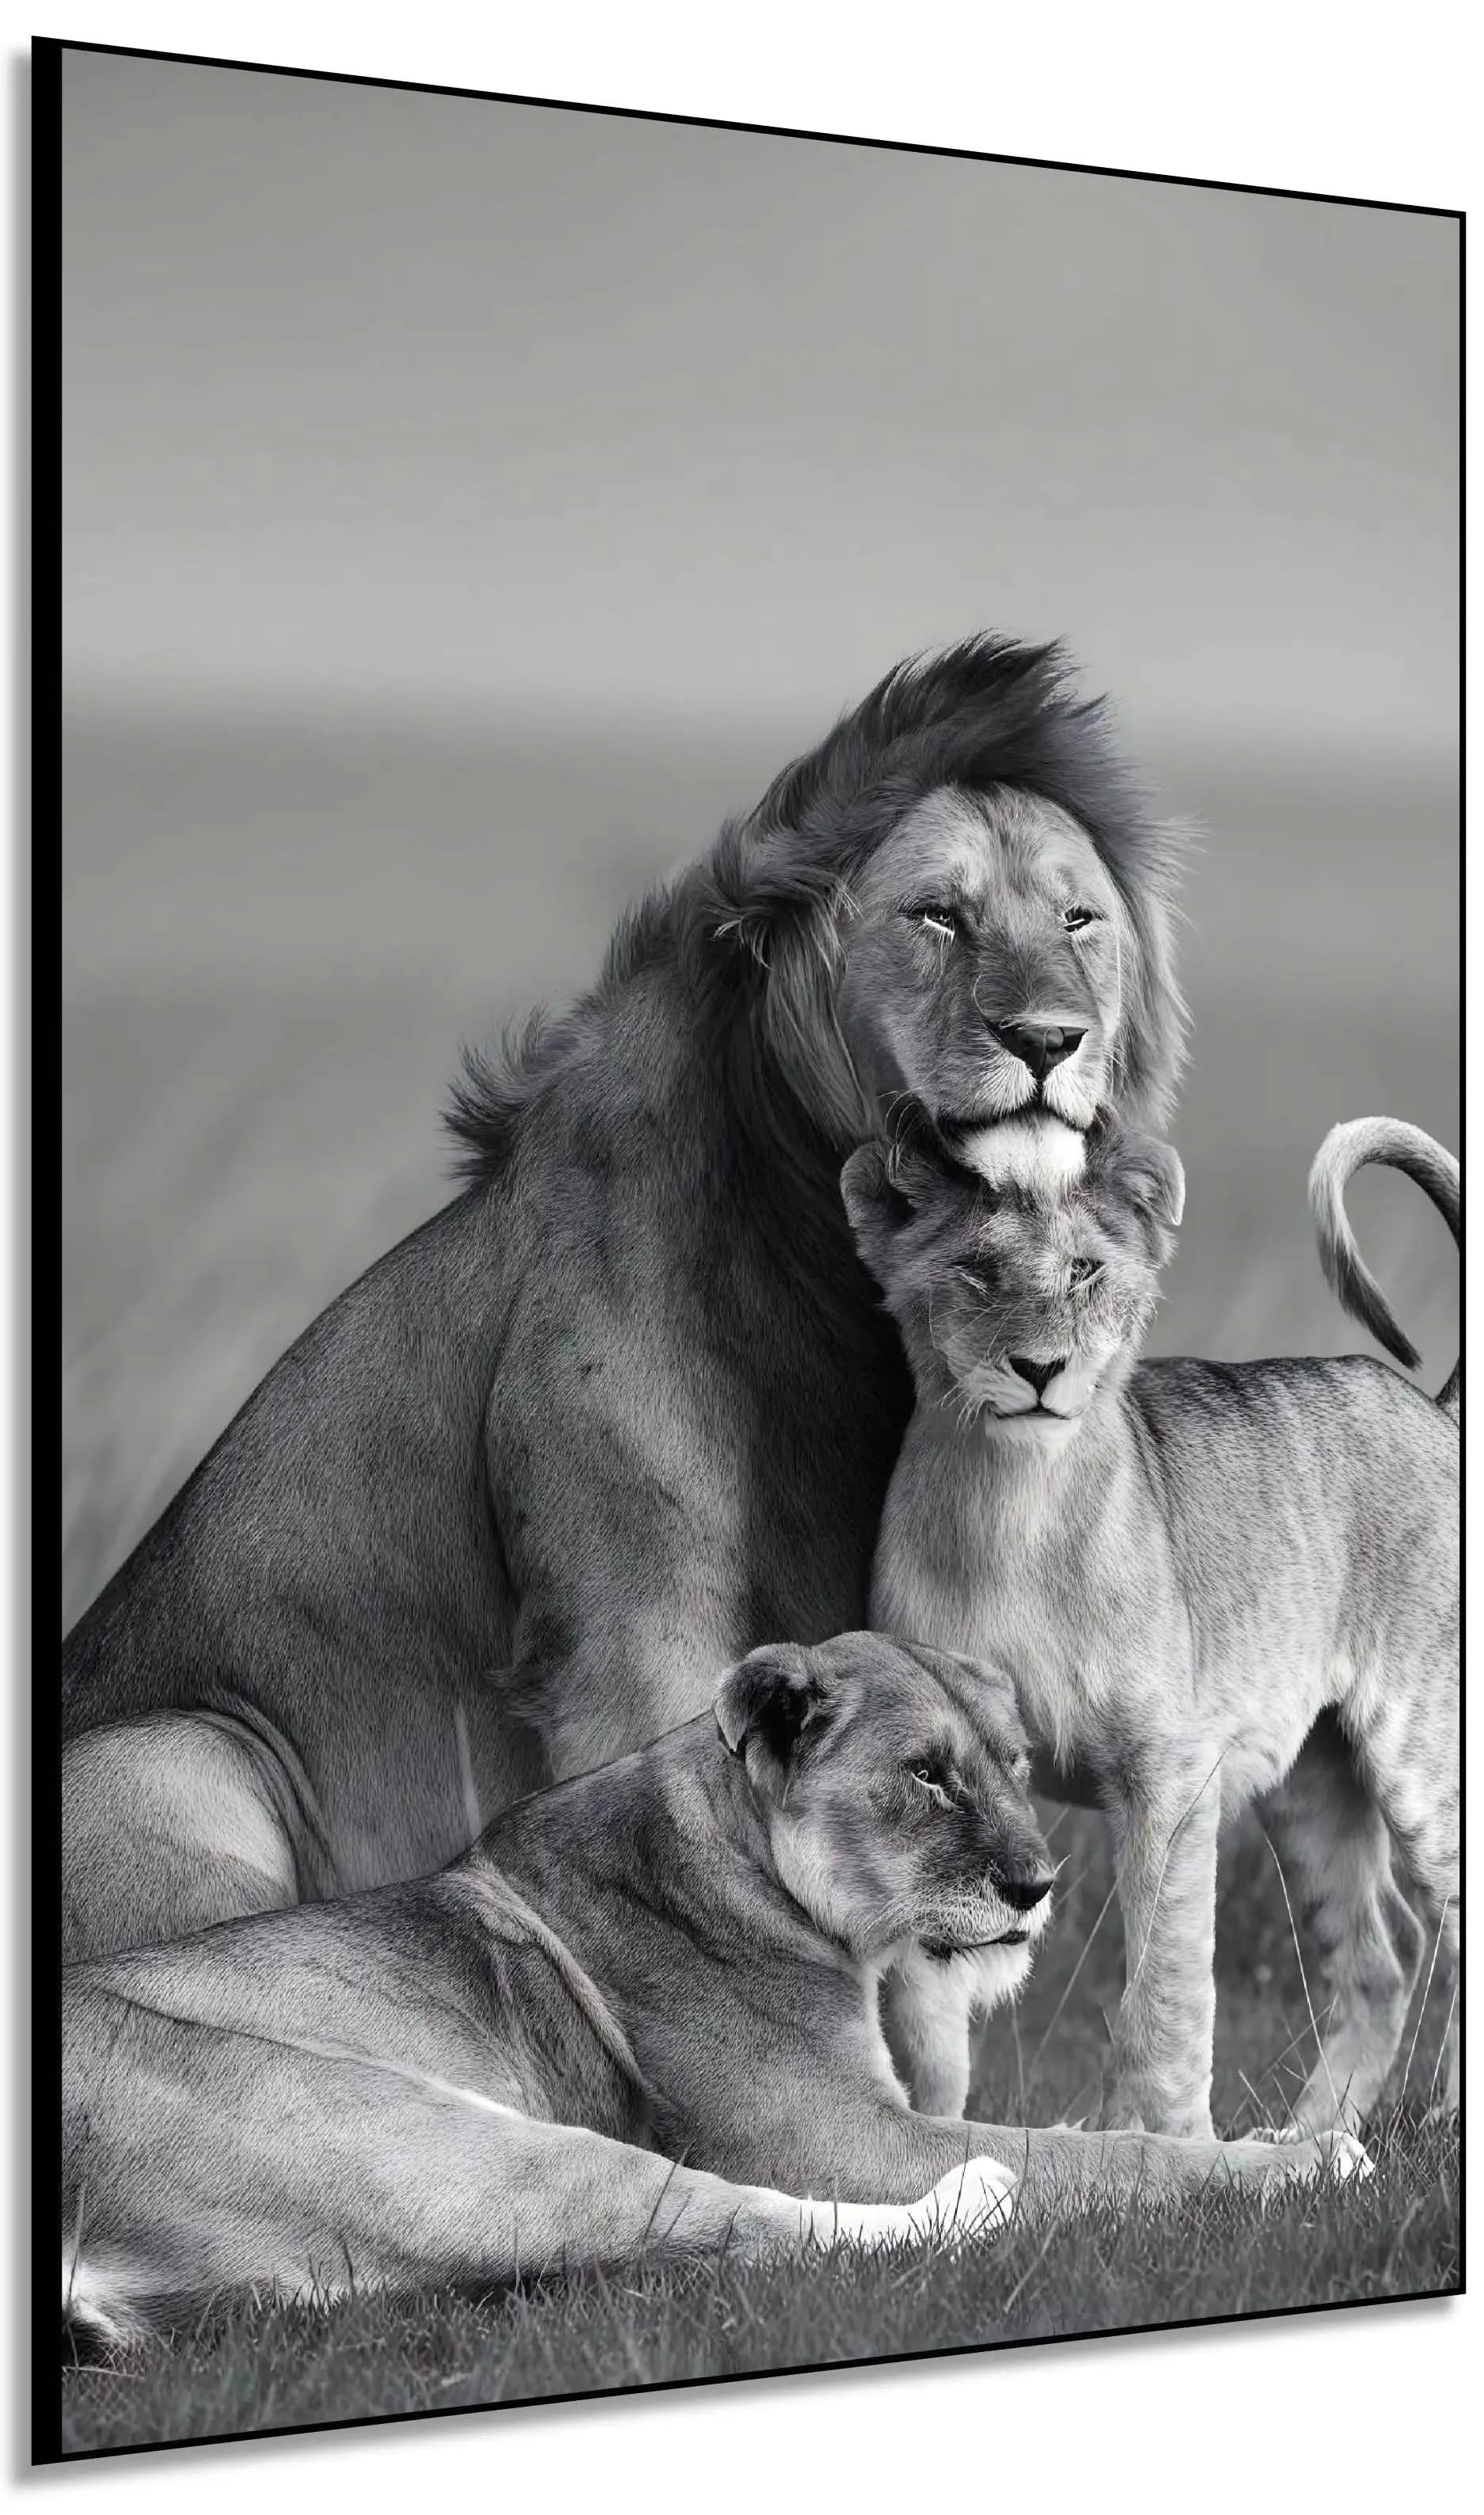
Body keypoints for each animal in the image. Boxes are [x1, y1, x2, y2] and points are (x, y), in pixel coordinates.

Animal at [61, 636, 1187, 1965]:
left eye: (1077, 920)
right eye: (936, 916)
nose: (1047, 1038)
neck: (826, 1257)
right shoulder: (630, 1640)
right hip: (179, 1753)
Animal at [62, 1632, 1365, 2356]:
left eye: (1010, 1763)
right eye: (925, 1776)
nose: (1037, 1884)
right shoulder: (838, 2135)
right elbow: (1104, 2156)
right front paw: (1297, 2160)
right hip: (411, 2133)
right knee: (744, 2223)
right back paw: (976, 2197)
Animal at [843, 1112, 1459, 2140]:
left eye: (1086, 1272)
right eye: (977, 1270)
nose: (1040, 1370)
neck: (1014, 1504)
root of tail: (1433, 1408)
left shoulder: (1168, 1775)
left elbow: (1165, 1994)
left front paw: (1167, 2147)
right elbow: (928, 2019)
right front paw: (933, 2145)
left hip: (1423, 1743)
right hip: (1310, 1783)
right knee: (1380, 1959)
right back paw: (1310, 2140)